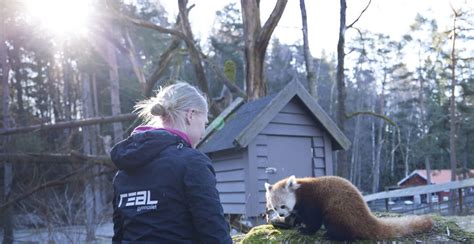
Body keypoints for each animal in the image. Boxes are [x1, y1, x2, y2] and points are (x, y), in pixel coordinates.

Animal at [264, 175, 436, 240]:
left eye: (283, 206)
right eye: (274, 208)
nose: (281, 215)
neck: (299, 192)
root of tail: (366, 216)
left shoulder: (311, 201)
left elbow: (314, 220)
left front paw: (306, 230)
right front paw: (295, 222)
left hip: (339, 211)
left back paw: (331, 235)